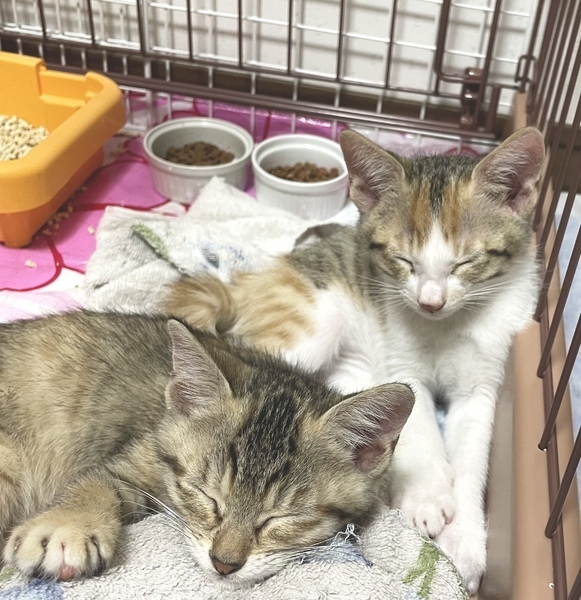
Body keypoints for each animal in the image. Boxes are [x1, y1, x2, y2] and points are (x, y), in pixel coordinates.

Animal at [0, 310, 414, 585]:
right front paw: (67, 525)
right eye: (208, 497)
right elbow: (96, 479)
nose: (224, 564)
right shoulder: (139, 454)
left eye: (281, 518)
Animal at [163, 126, 545, 594]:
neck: (445, 326)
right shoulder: (401, 359)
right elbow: (420, 422)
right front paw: (427, 498)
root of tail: (257, 278)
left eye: (467, 262)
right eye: (402, 261)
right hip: (311, 325)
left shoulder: (485, 376)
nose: (430, 302)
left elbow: (473, 455)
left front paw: (466, 543)